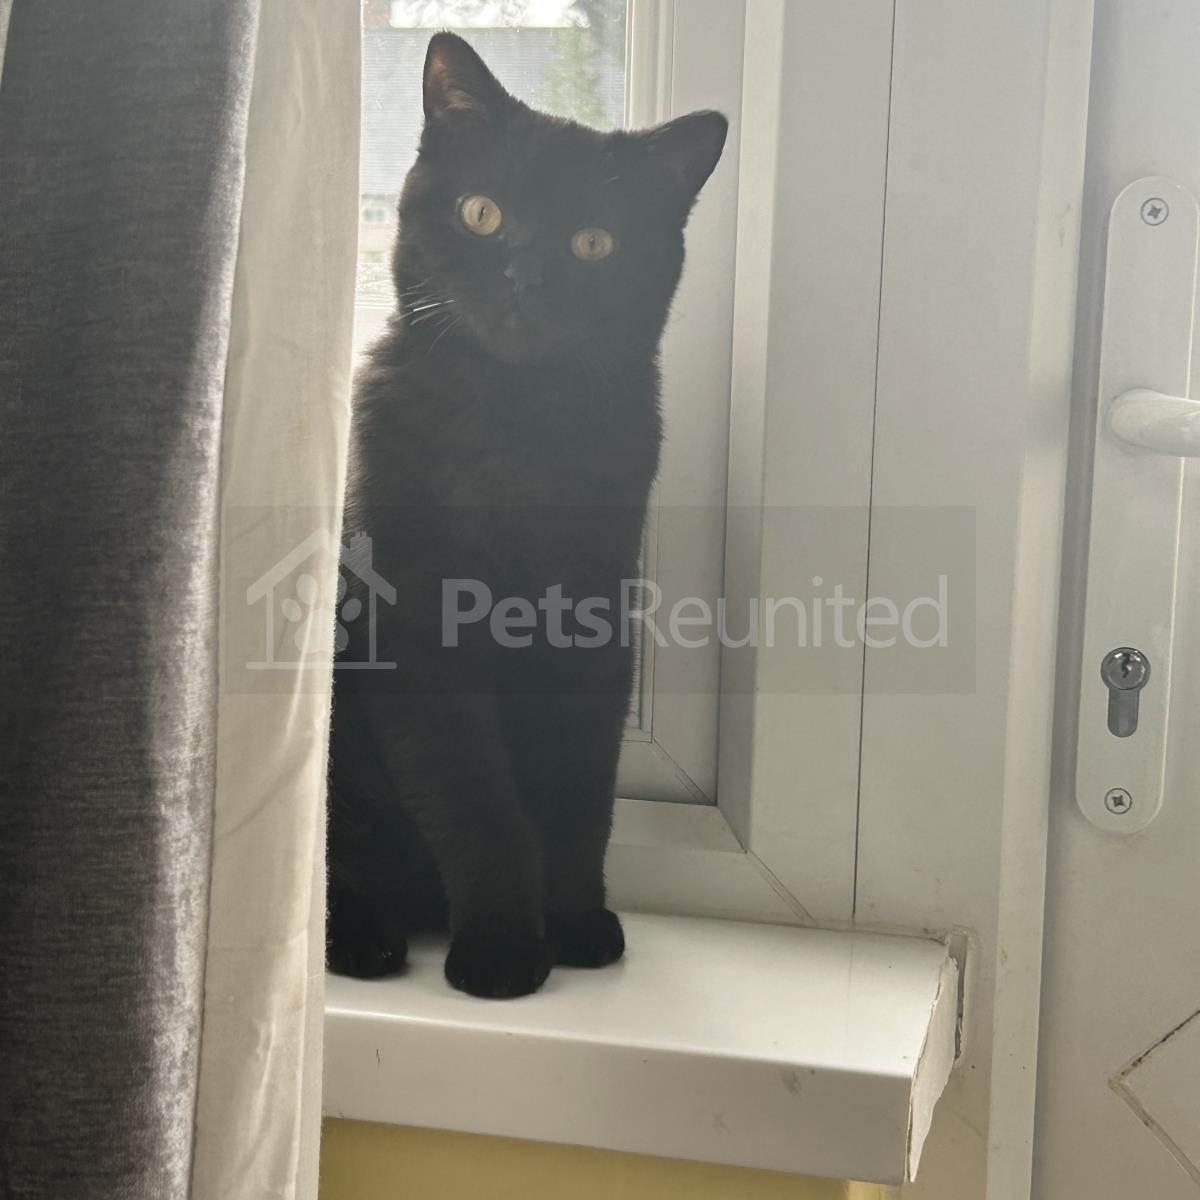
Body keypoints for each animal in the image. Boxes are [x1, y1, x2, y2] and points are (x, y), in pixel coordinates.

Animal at [326, 31, 726, 998]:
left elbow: (578, 790)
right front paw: (505, 951)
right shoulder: (421, 641)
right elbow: (480, 803)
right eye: (482, 214)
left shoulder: (591, 626)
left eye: (594, 243)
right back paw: (363, 935)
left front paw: (575, 920)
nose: (525, 275)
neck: (511, 426)